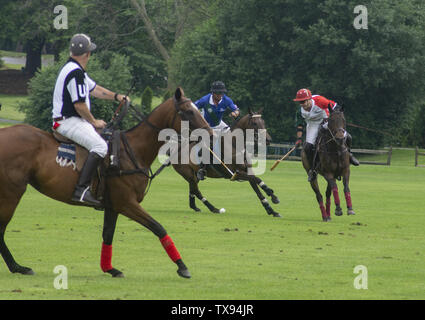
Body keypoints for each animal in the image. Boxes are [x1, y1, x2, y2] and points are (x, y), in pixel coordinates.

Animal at [0, 87, 211, 278]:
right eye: (189, 111)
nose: (210, 132)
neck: (134, 151)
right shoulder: (127, 203)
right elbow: (158, 227)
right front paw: (182, 267)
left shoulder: (113, 206)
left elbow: (108, 235)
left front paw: (110, 269)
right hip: (12, 193)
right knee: (1, 230)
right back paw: (18, 267)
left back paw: (17, 267)